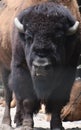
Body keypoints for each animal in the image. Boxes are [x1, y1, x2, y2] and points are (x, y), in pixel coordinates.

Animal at [0, 0, 80, 129]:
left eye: (59, 38)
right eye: (29, 37)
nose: (41, 66)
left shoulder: (68, 72)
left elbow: (57, 102)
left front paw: (57, 125)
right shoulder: (22, 69)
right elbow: (28, 99)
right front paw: (27, 125)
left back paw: (18, 121)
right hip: (4, 67)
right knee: (8, 94)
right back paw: (7, 122)